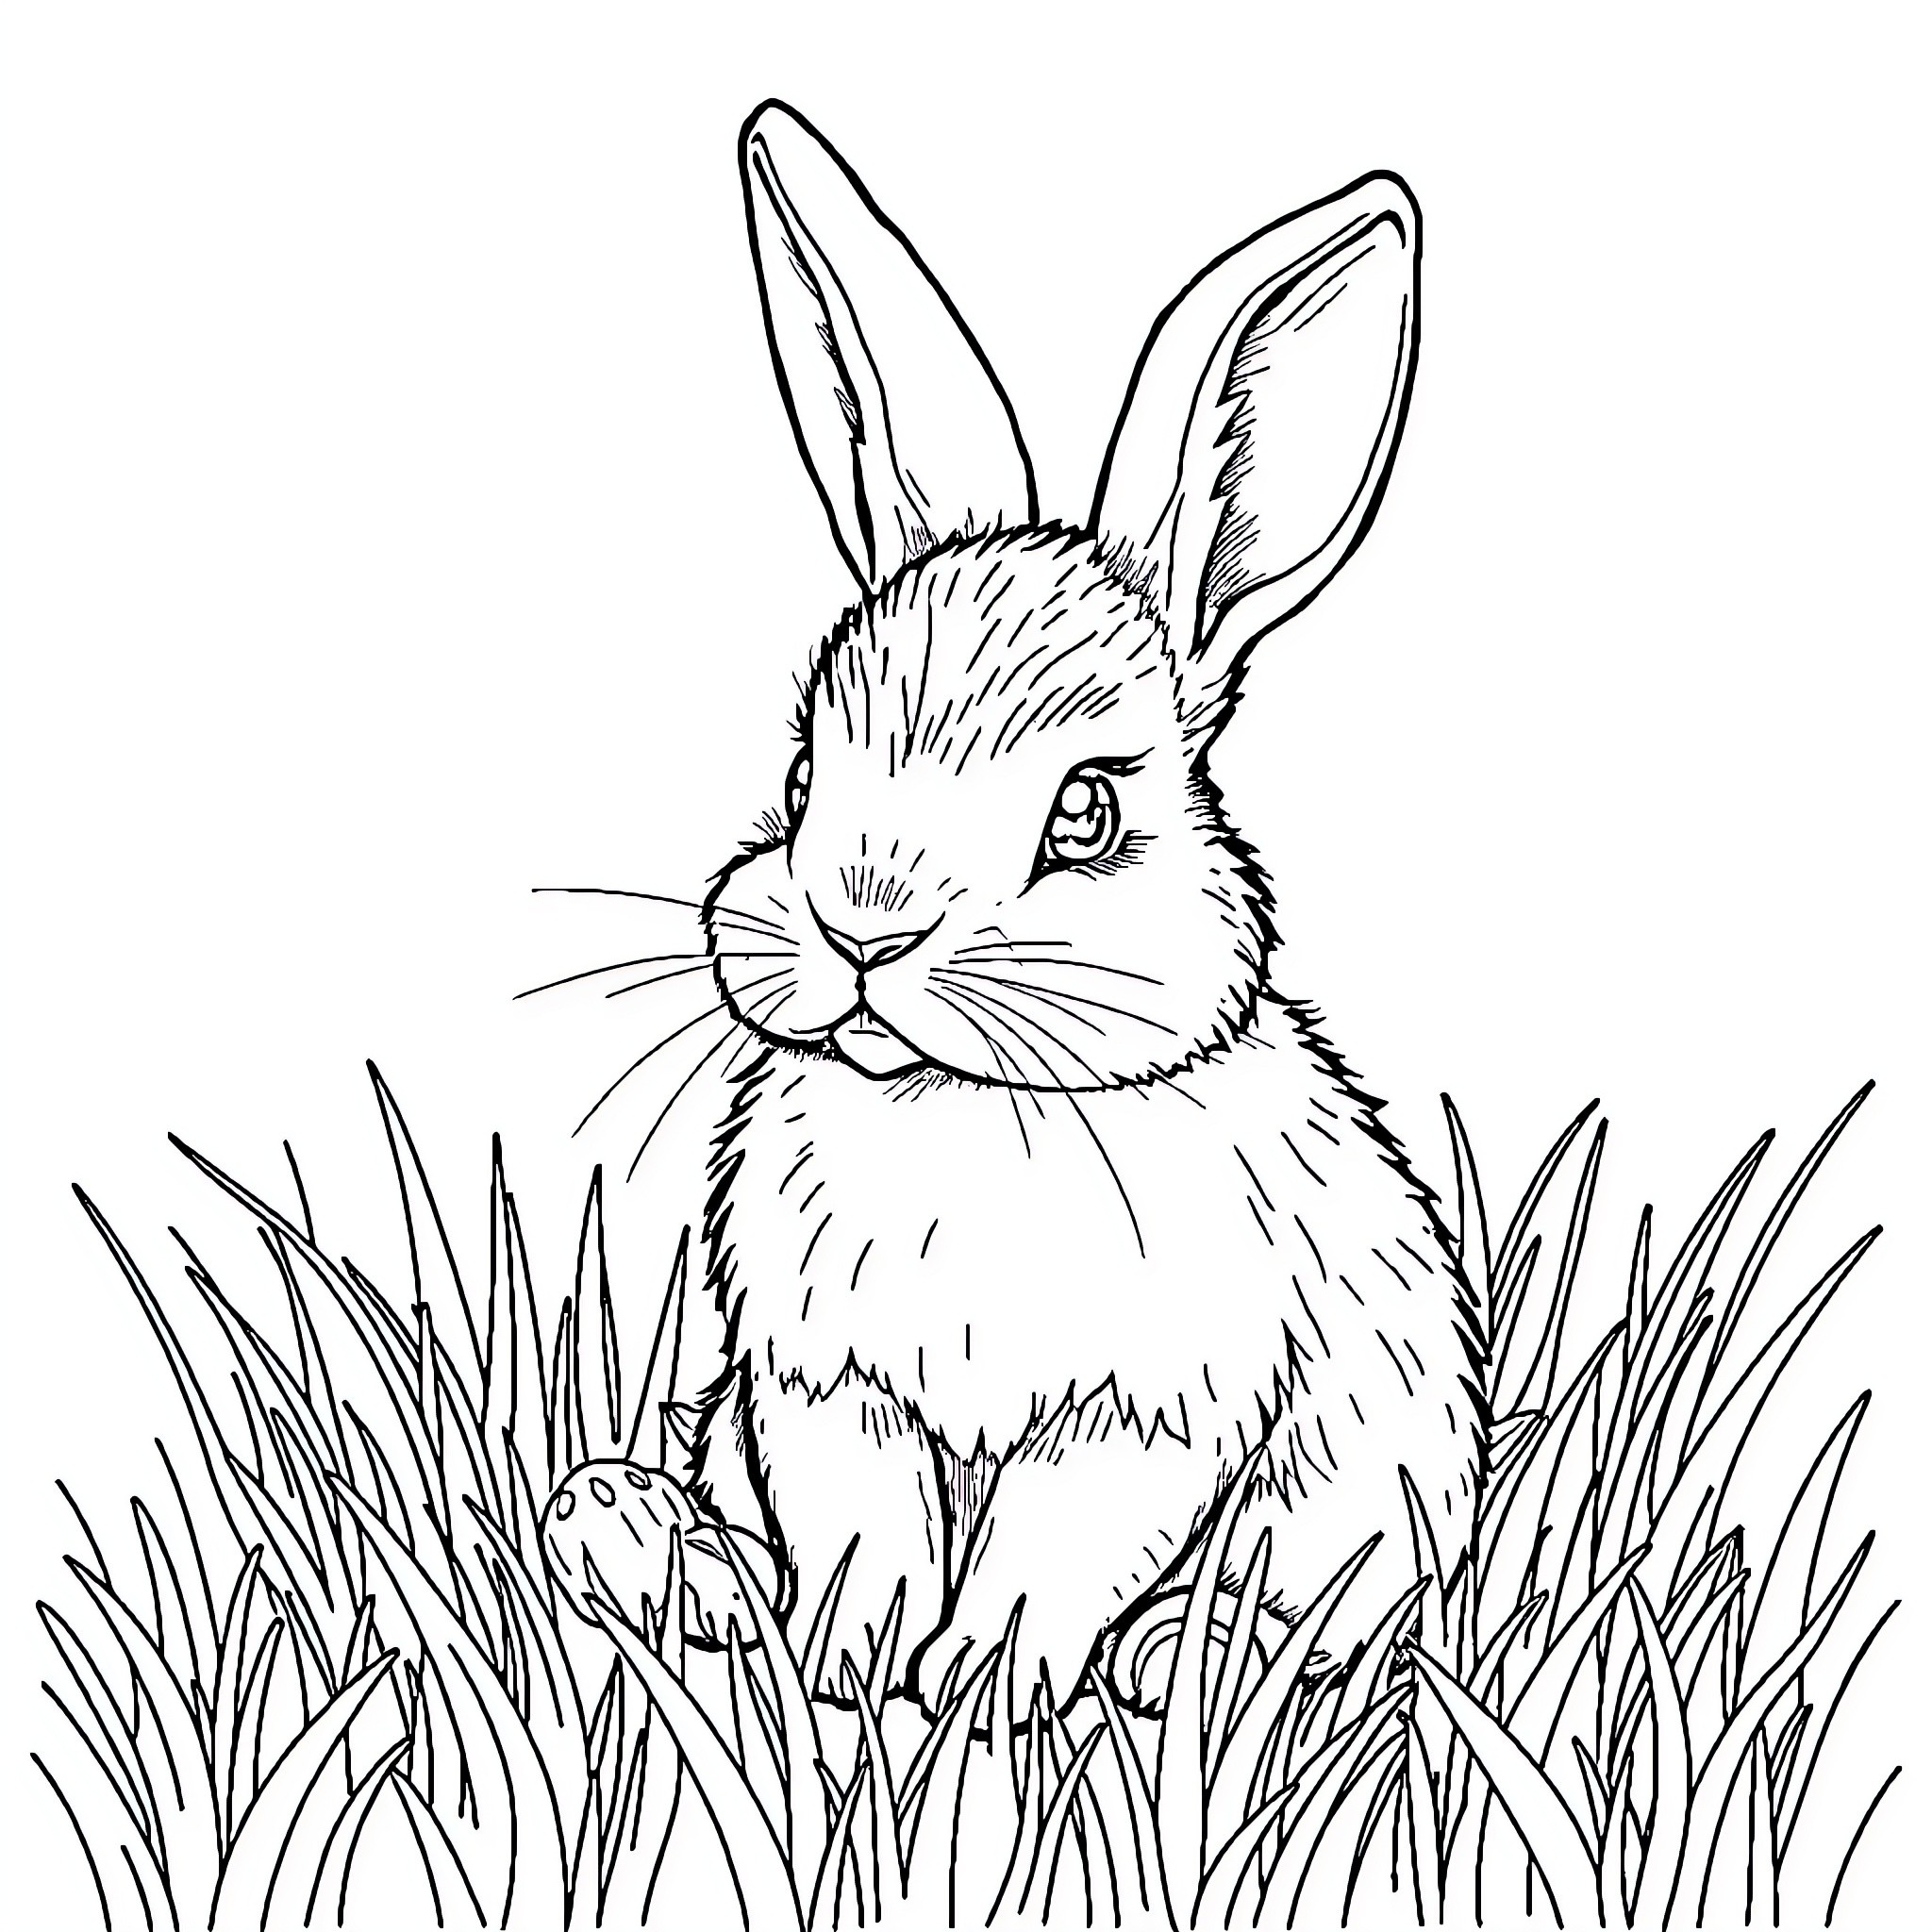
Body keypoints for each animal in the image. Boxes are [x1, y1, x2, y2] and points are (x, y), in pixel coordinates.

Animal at [667, 100, 1483, 1720]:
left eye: (1087, 811)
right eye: (805, 770)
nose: (864, 931)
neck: (962, 1107)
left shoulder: (1141, 1418)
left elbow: (1052, 1552)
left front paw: (984, 1686)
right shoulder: (823, 1388)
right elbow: (866, 1532)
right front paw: (847, 1668)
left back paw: (1186, 1662)